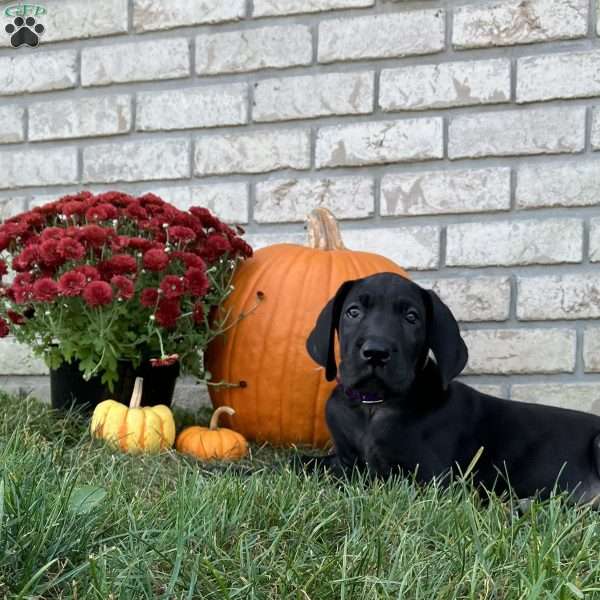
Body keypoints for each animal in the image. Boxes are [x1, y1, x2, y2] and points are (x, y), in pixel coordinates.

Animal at [302, 270, 600, 502]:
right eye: (353, 312)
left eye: (412, 317)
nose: (376, 352)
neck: (374, 405)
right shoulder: (345, 460)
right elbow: (308, 463)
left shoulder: (431, 479)